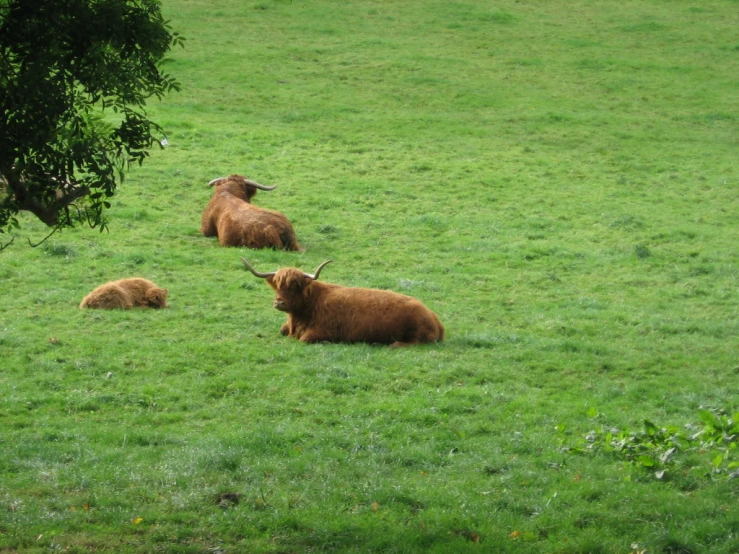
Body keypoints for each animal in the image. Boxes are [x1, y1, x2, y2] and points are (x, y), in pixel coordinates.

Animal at [241, 258, 446, 344]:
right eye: (277, 285)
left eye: (295, 286)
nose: (279, 303)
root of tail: (435, 318)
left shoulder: (321, 332)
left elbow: (304, 339)